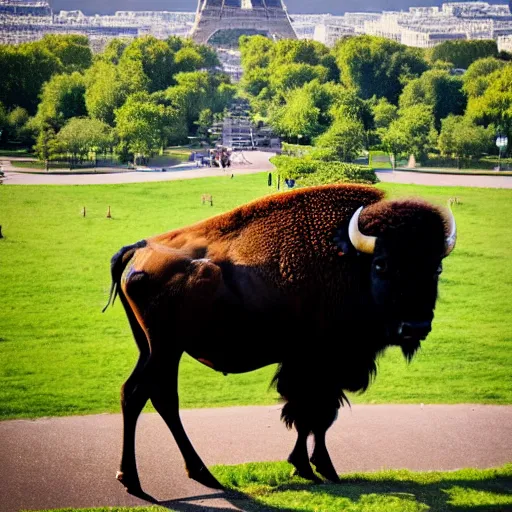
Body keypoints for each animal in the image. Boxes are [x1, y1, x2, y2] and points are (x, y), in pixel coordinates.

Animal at [103, 182, 456, 494]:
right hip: (165, 349)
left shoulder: (315, 369)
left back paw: (179, 474)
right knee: (147, 395)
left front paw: (309, 466)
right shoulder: (319, 367)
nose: (415, 326)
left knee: (148, 396)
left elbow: (314, 416)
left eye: (436, 268)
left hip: (151, 348)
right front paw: (318, 468)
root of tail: (139, 248)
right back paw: (148, 478)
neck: (351, 261)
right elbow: (313, 415)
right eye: (382, 264)